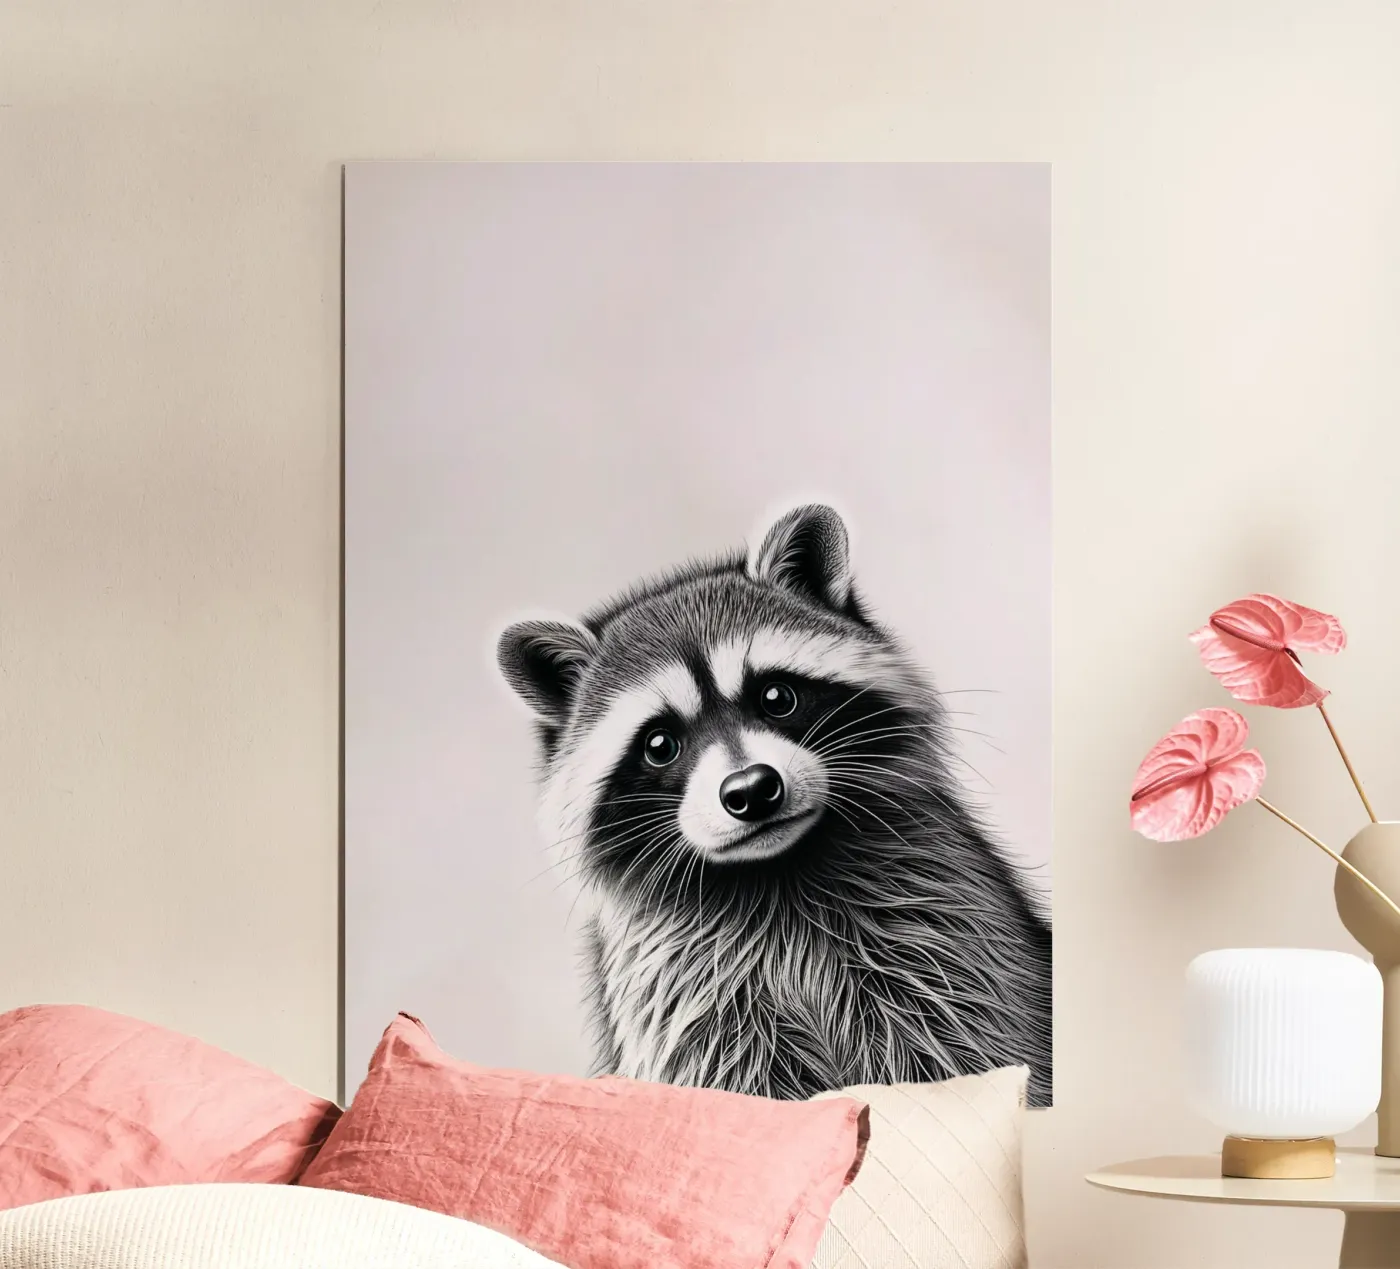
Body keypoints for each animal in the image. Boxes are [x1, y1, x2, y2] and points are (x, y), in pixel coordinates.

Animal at [497, 504, 1052, 1106]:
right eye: (659, 744)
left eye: (777, 697)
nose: (751, 790)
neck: (775, 871)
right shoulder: (684, 999)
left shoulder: (946, 934)